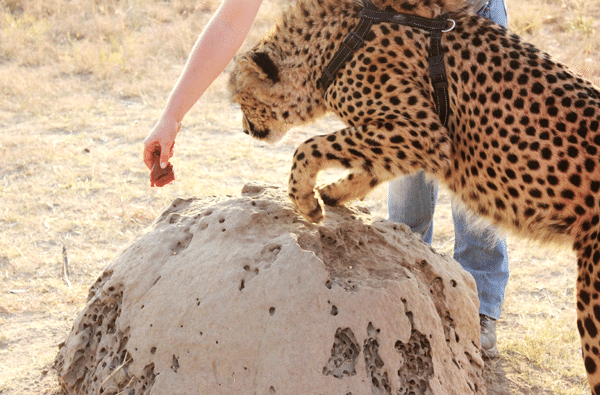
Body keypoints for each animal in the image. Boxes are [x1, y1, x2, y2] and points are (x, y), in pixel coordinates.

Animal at [229, 0, 600, 390]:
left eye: (241, 100)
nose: (245, 129)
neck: (333, 41)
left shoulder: (421, 131)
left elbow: (311, 145)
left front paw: (306, 199)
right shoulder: (413, 142)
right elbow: (369, 165)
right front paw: (331, 194)